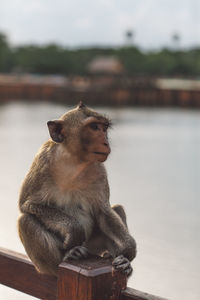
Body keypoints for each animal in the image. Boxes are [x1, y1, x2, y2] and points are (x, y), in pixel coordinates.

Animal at [18, 102, 137, 276]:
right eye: (94, 127)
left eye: (104, 128)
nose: (105, 143)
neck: (73, 162)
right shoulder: (42, 161)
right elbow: (27, 205)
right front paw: (74, 232)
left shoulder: (99, 171)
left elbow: (103, 211)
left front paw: (128, 253)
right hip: (46, 266)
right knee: (25, 220)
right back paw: (68, 255)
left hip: (93, 246)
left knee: (117, 209)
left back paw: (115, 257)